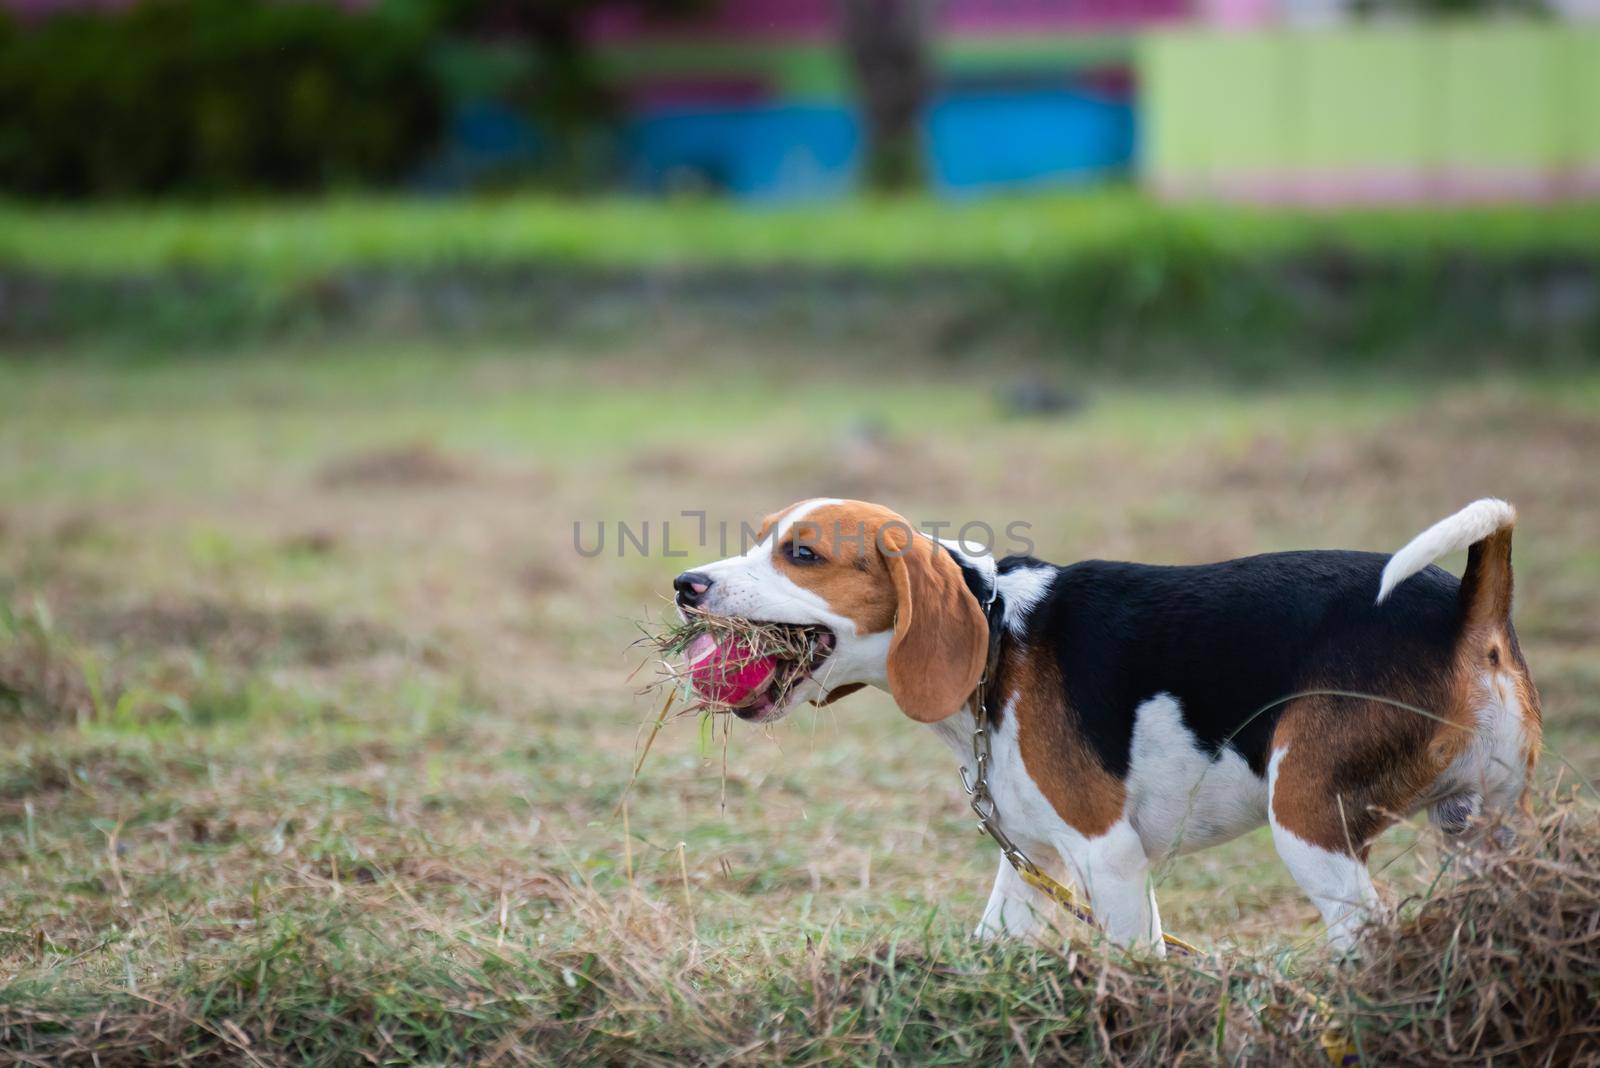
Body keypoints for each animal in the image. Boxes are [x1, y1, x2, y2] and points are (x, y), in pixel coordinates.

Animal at [675, 502, 1536, 952]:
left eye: (803, 554)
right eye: (759, 540)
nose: (686, 584)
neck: (998, 636)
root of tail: (1466, 607)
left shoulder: (1109, 860)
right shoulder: (1036, 859)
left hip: (1307, 819)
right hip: (1485, 830)